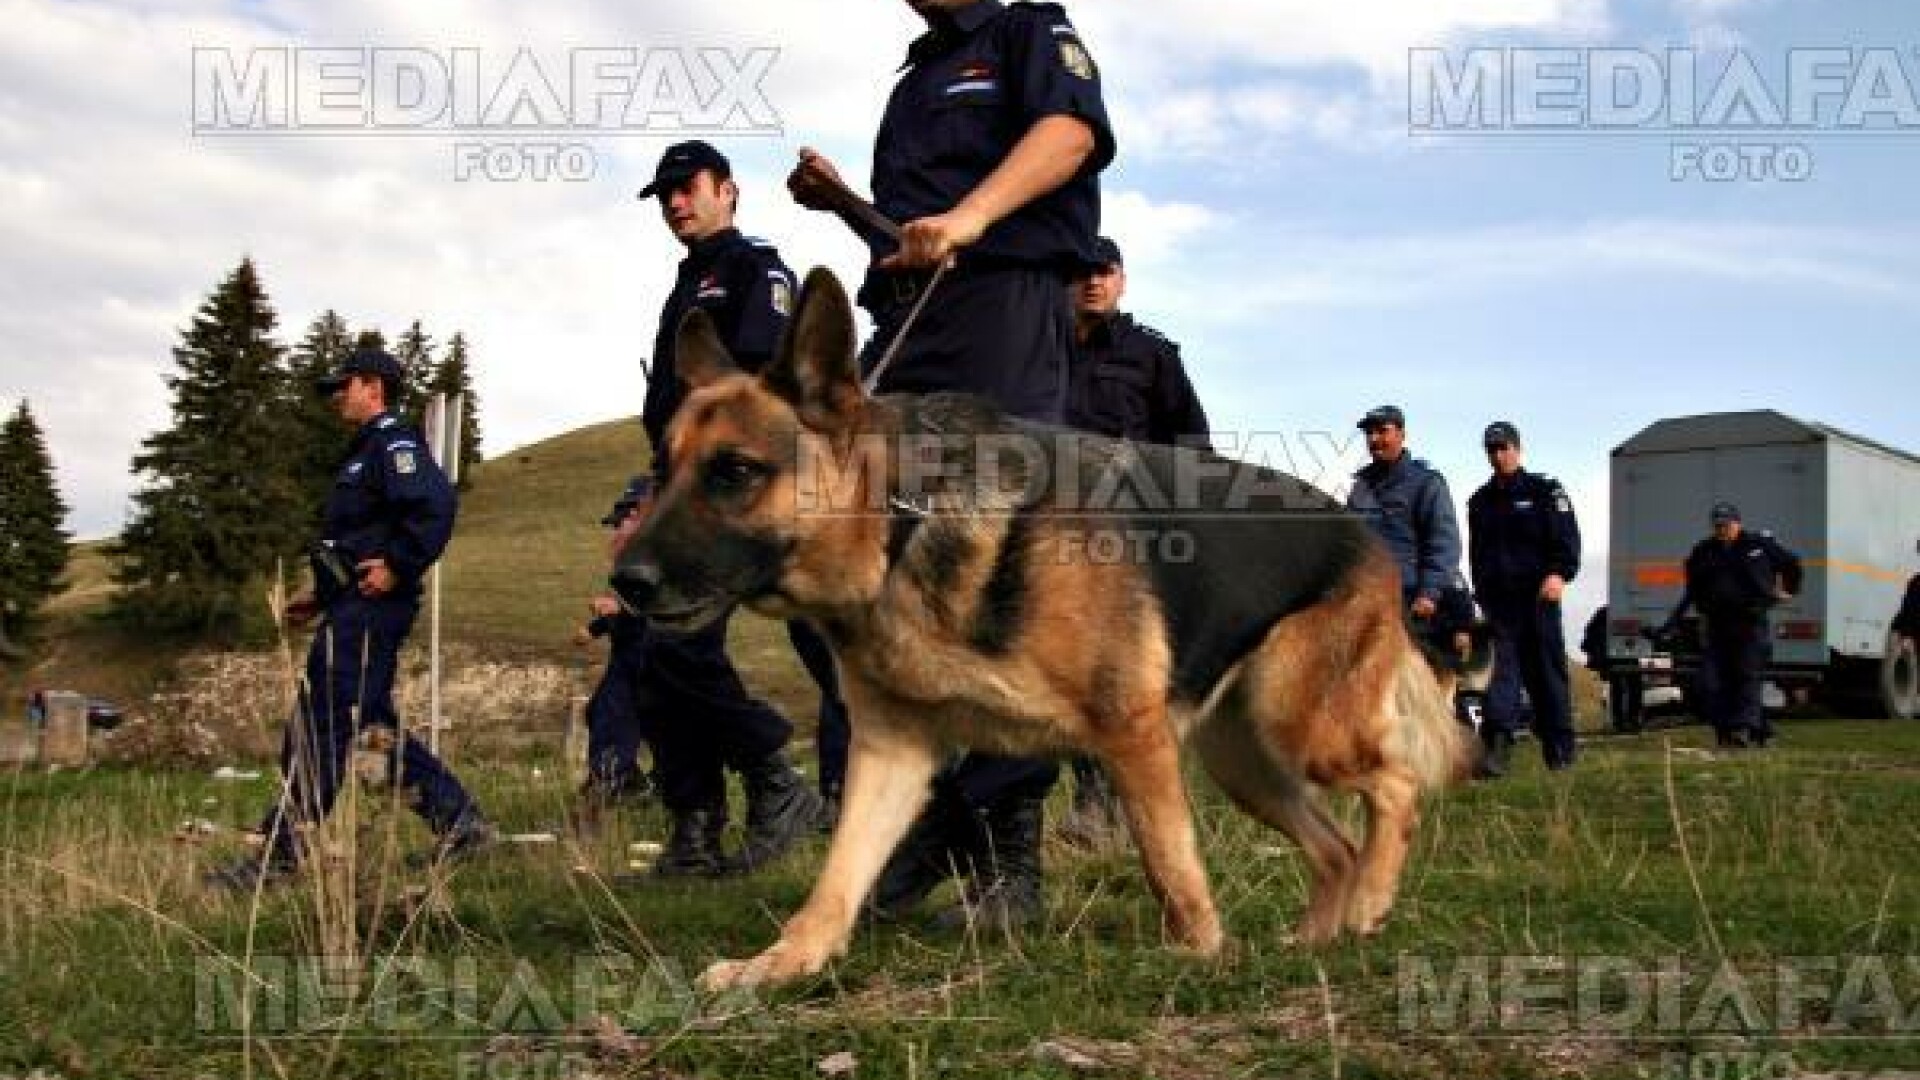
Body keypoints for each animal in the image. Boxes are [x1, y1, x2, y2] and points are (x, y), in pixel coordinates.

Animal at [614, 267, 1466, 983]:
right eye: (663, 470)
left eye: (734, 471)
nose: (625, 582)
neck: (903, 523)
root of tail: (1364, 533)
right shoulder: (892, 754)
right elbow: (838, 876)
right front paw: (782, 964)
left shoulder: (1131, 734)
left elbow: (1169, 860)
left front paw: (1196, 951)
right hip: (1246, 760)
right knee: (1335, 845)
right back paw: (1317, 938)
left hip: (1301, 725)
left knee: (1395, 787)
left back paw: (1369, 905)